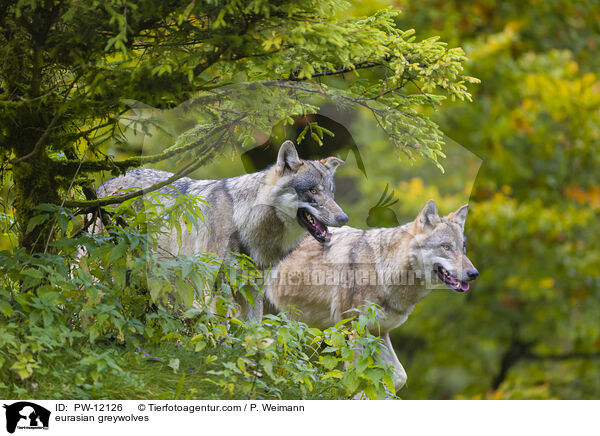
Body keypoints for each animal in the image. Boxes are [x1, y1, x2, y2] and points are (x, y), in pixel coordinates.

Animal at [96, 141, 350, 316]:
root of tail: (102, 187)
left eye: (331, 192)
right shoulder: (209, 287)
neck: (246, 223)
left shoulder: (252, 291)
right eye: (313, 191)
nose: (343, 217)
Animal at [266, 199, 478, 390]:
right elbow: (356, 379)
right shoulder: (352, 330)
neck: (383, 271)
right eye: (446, 247)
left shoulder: (379, 332)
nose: (474, 274)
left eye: (463, 248)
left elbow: (398, 376)